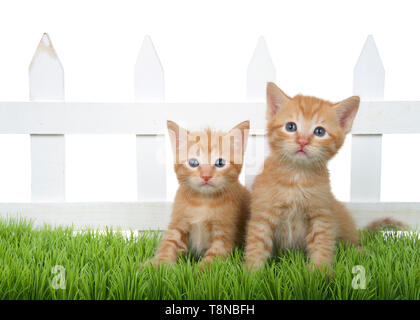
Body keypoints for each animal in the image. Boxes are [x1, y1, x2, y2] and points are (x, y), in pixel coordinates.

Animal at [150, 120, 249, 264]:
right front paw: (156, 265)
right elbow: (168, 245)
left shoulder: (224, 234)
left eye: (220, 163)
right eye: (193, 162)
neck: (202, 202)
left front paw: (200, 269)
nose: (206, 176)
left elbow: (212, 259)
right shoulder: (178, 223)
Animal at [246, 82, 360, 270]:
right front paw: (252, 273)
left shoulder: (322, 214)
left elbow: (322, 244)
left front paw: (319, 273)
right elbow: (257, 244)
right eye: (291, 127)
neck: (296, 178)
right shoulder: (263, 213)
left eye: (319, 131)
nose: (302, 141)